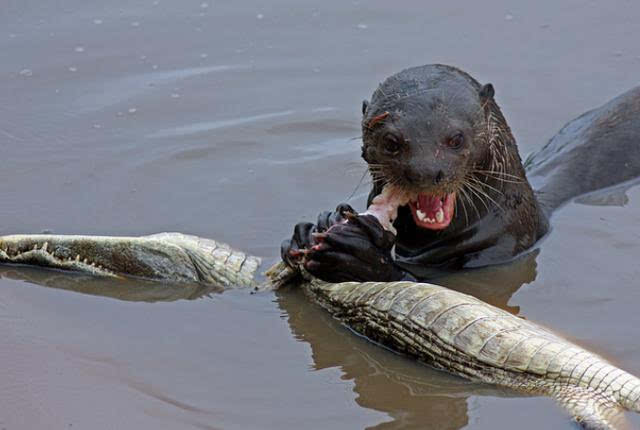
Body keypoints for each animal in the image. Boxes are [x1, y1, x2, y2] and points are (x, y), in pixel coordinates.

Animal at [282, 63, 640, 282]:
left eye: (456, 138)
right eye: (391, 142)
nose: (425, 172)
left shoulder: (502, 250)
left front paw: (360, 257)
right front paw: (312, 227)